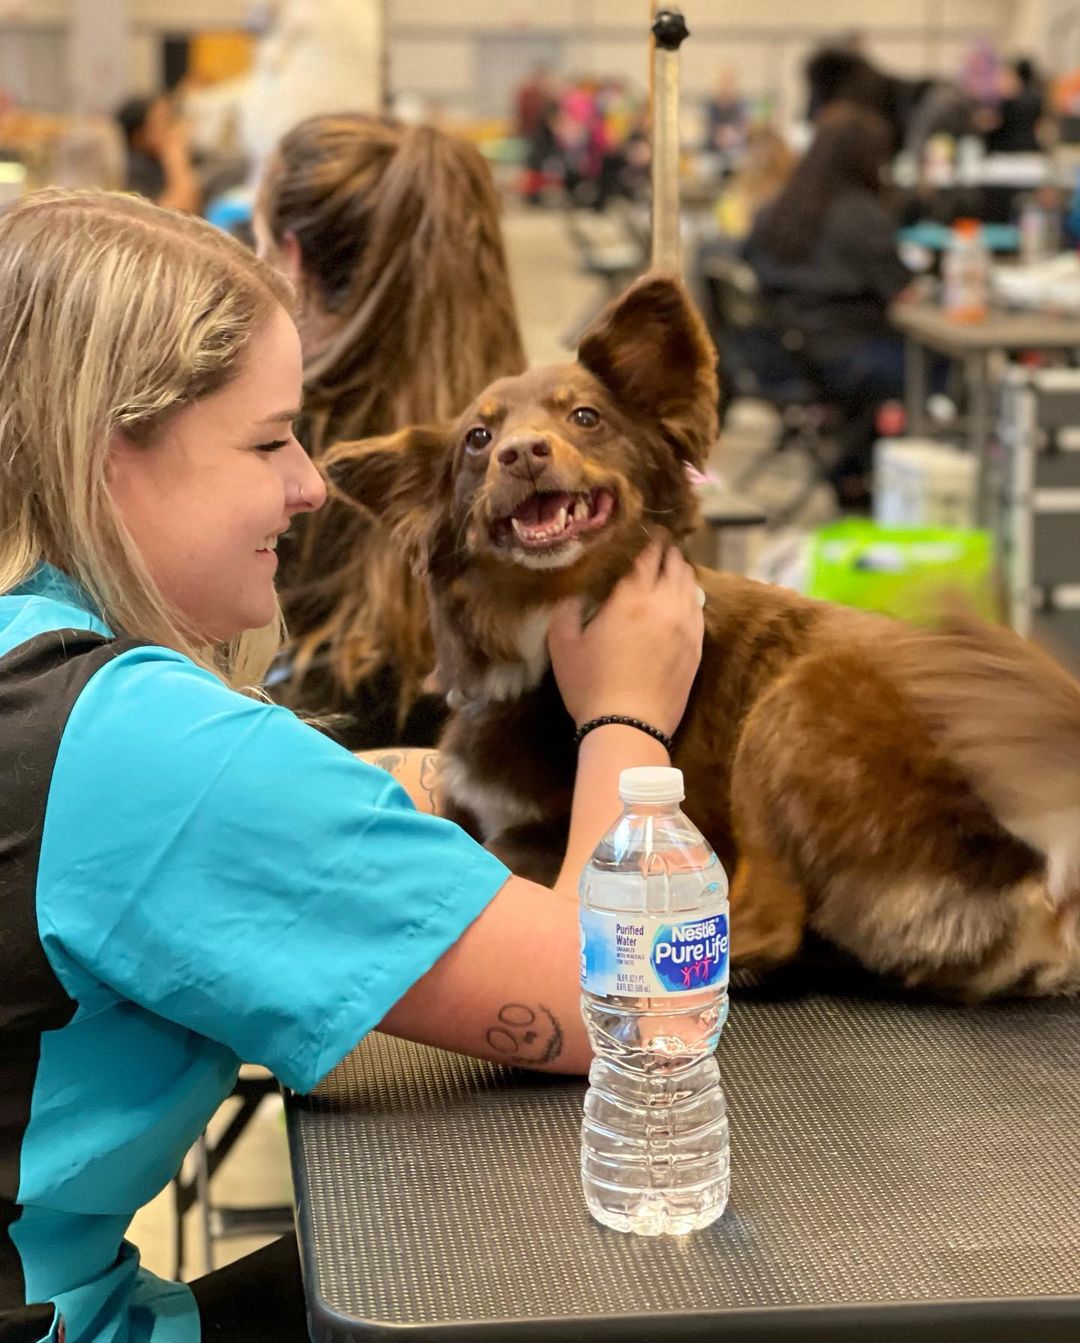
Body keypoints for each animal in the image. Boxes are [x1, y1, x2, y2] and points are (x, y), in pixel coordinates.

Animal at [326, 275, 1080, 999]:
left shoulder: (540, 840)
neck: (538, 629)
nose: (522, 453)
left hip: (794, 705)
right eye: (478, 441)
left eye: (585, 417)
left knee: (764, 925)